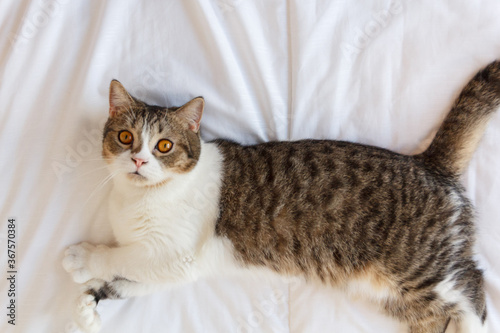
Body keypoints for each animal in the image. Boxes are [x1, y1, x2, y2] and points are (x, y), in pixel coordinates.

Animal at [62, 60, 500, 332]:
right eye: (125, 137)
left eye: (164, 146)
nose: (138, 159)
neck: (136, 200)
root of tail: (428, 161)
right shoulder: (176, 270)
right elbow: (130, 280)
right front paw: (90, 303)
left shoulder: (170, 251)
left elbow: (120, 257)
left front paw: (85, 259)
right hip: (397, 293)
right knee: (436, 315)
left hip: (421, 268)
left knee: (473, 286)